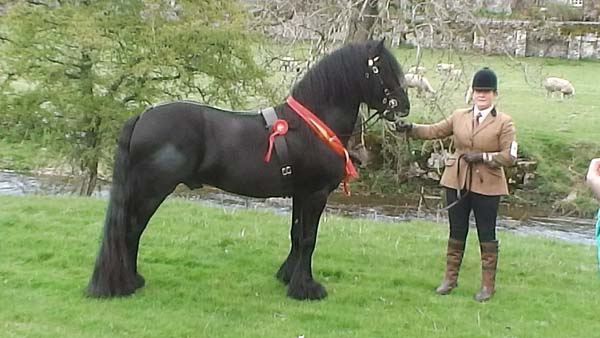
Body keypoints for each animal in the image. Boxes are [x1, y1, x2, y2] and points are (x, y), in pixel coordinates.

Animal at [88, 38, 408, 300]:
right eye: (383, 69)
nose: (403, 107)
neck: (311, 126)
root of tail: (143, 116)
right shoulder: (316, 194)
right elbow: (308, 239)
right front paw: (306, 288)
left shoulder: (300, 194)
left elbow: (296, 235)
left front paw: (287, 277)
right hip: (152, 190)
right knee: (131, 229)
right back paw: (124, 284)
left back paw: (130, 281)